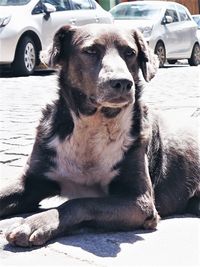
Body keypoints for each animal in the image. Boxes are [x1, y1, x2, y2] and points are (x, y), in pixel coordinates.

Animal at [0, 24, 199, 248]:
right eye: (90, 51)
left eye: (130, 53)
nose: (122, 83)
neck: (94, 127)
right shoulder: (32, 183)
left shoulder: (140, 202)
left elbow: (79, 203)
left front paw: (36, 223)